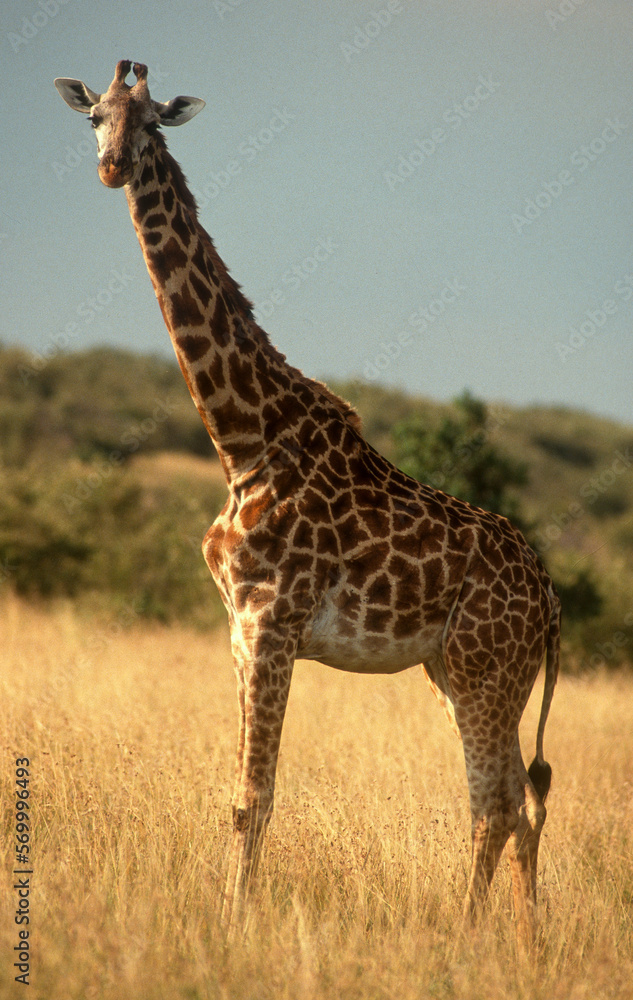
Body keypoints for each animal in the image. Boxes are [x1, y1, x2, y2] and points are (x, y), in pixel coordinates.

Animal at [55, 61, 560, 952]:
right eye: (95, 120)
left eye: (152, 124)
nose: (112, 167)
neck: (242, 438)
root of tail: (549, 600)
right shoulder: (237, 624)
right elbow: (240, 794)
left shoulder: (273, 620)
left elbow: (253, 798)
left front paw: (232, 927)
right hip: (464, 670)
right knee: (517, 805)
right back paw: (522, 942)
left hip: (483, 670)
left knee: (495, 807)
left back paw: (464, 941)